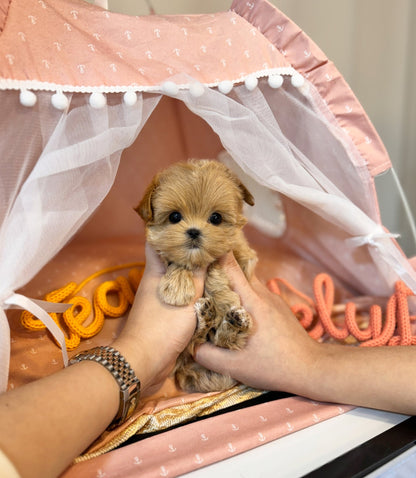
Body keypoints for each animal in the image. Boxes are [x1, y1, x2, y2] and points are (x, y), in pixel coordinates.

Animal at [136, 161, 258, 392]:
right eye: (174, 217)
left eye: (216, 218)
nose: (194, 231)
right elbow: (178, 262)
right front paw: (178, 287)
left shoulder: (241, 253)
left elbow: (222, 263)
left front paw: (221, 295)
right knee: (200, 337)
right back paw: (209, 318)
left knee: (225, 342)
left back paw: (232, 322)